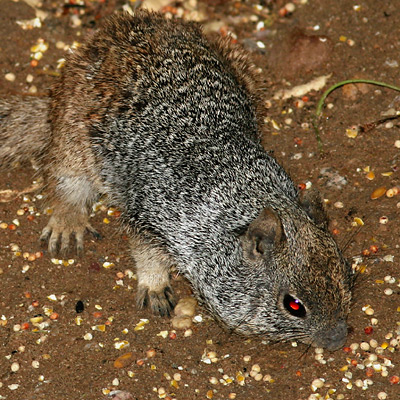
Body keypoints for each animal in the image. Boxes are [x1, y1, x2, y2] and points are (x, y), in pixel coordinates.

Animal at [0, 9, 354, 350]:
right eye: (294, 305)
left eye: (347, 272)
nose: (337, 339)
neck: (245, 197)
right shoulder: (151, 215)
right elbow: (147, 254)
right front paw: (155, 287)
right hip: (73, 137)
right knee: (65, 182)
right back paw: (68, 221)